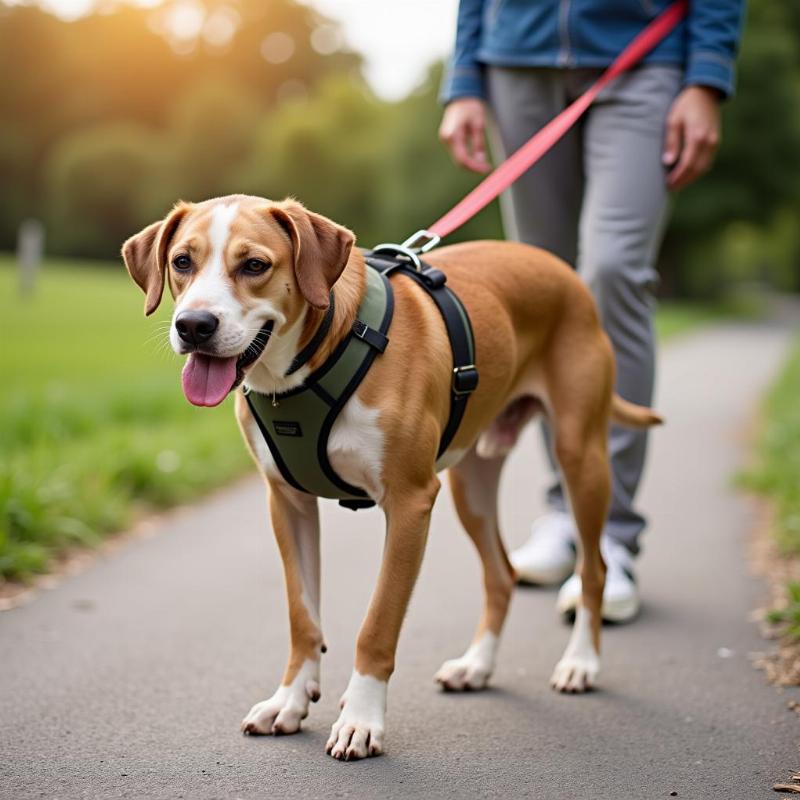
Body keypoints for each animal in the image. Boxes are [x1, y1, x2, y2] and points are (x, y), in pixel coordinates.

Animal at [123, 194, 664, 764]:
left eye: (254, 265)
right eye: (182, 262)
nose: (194, 325)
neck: (311, 362)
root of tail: (562, 271)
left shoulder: (410, 504)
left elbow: (378, 624)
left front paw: (361, 719)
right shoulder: (287, 504)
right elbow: (301, 615)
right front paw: (290, 699)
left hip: (581, 458)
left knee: (593, 569)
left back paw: (581, 662)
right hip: (473, 486)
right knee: (501, 572)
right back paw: (477, 666)